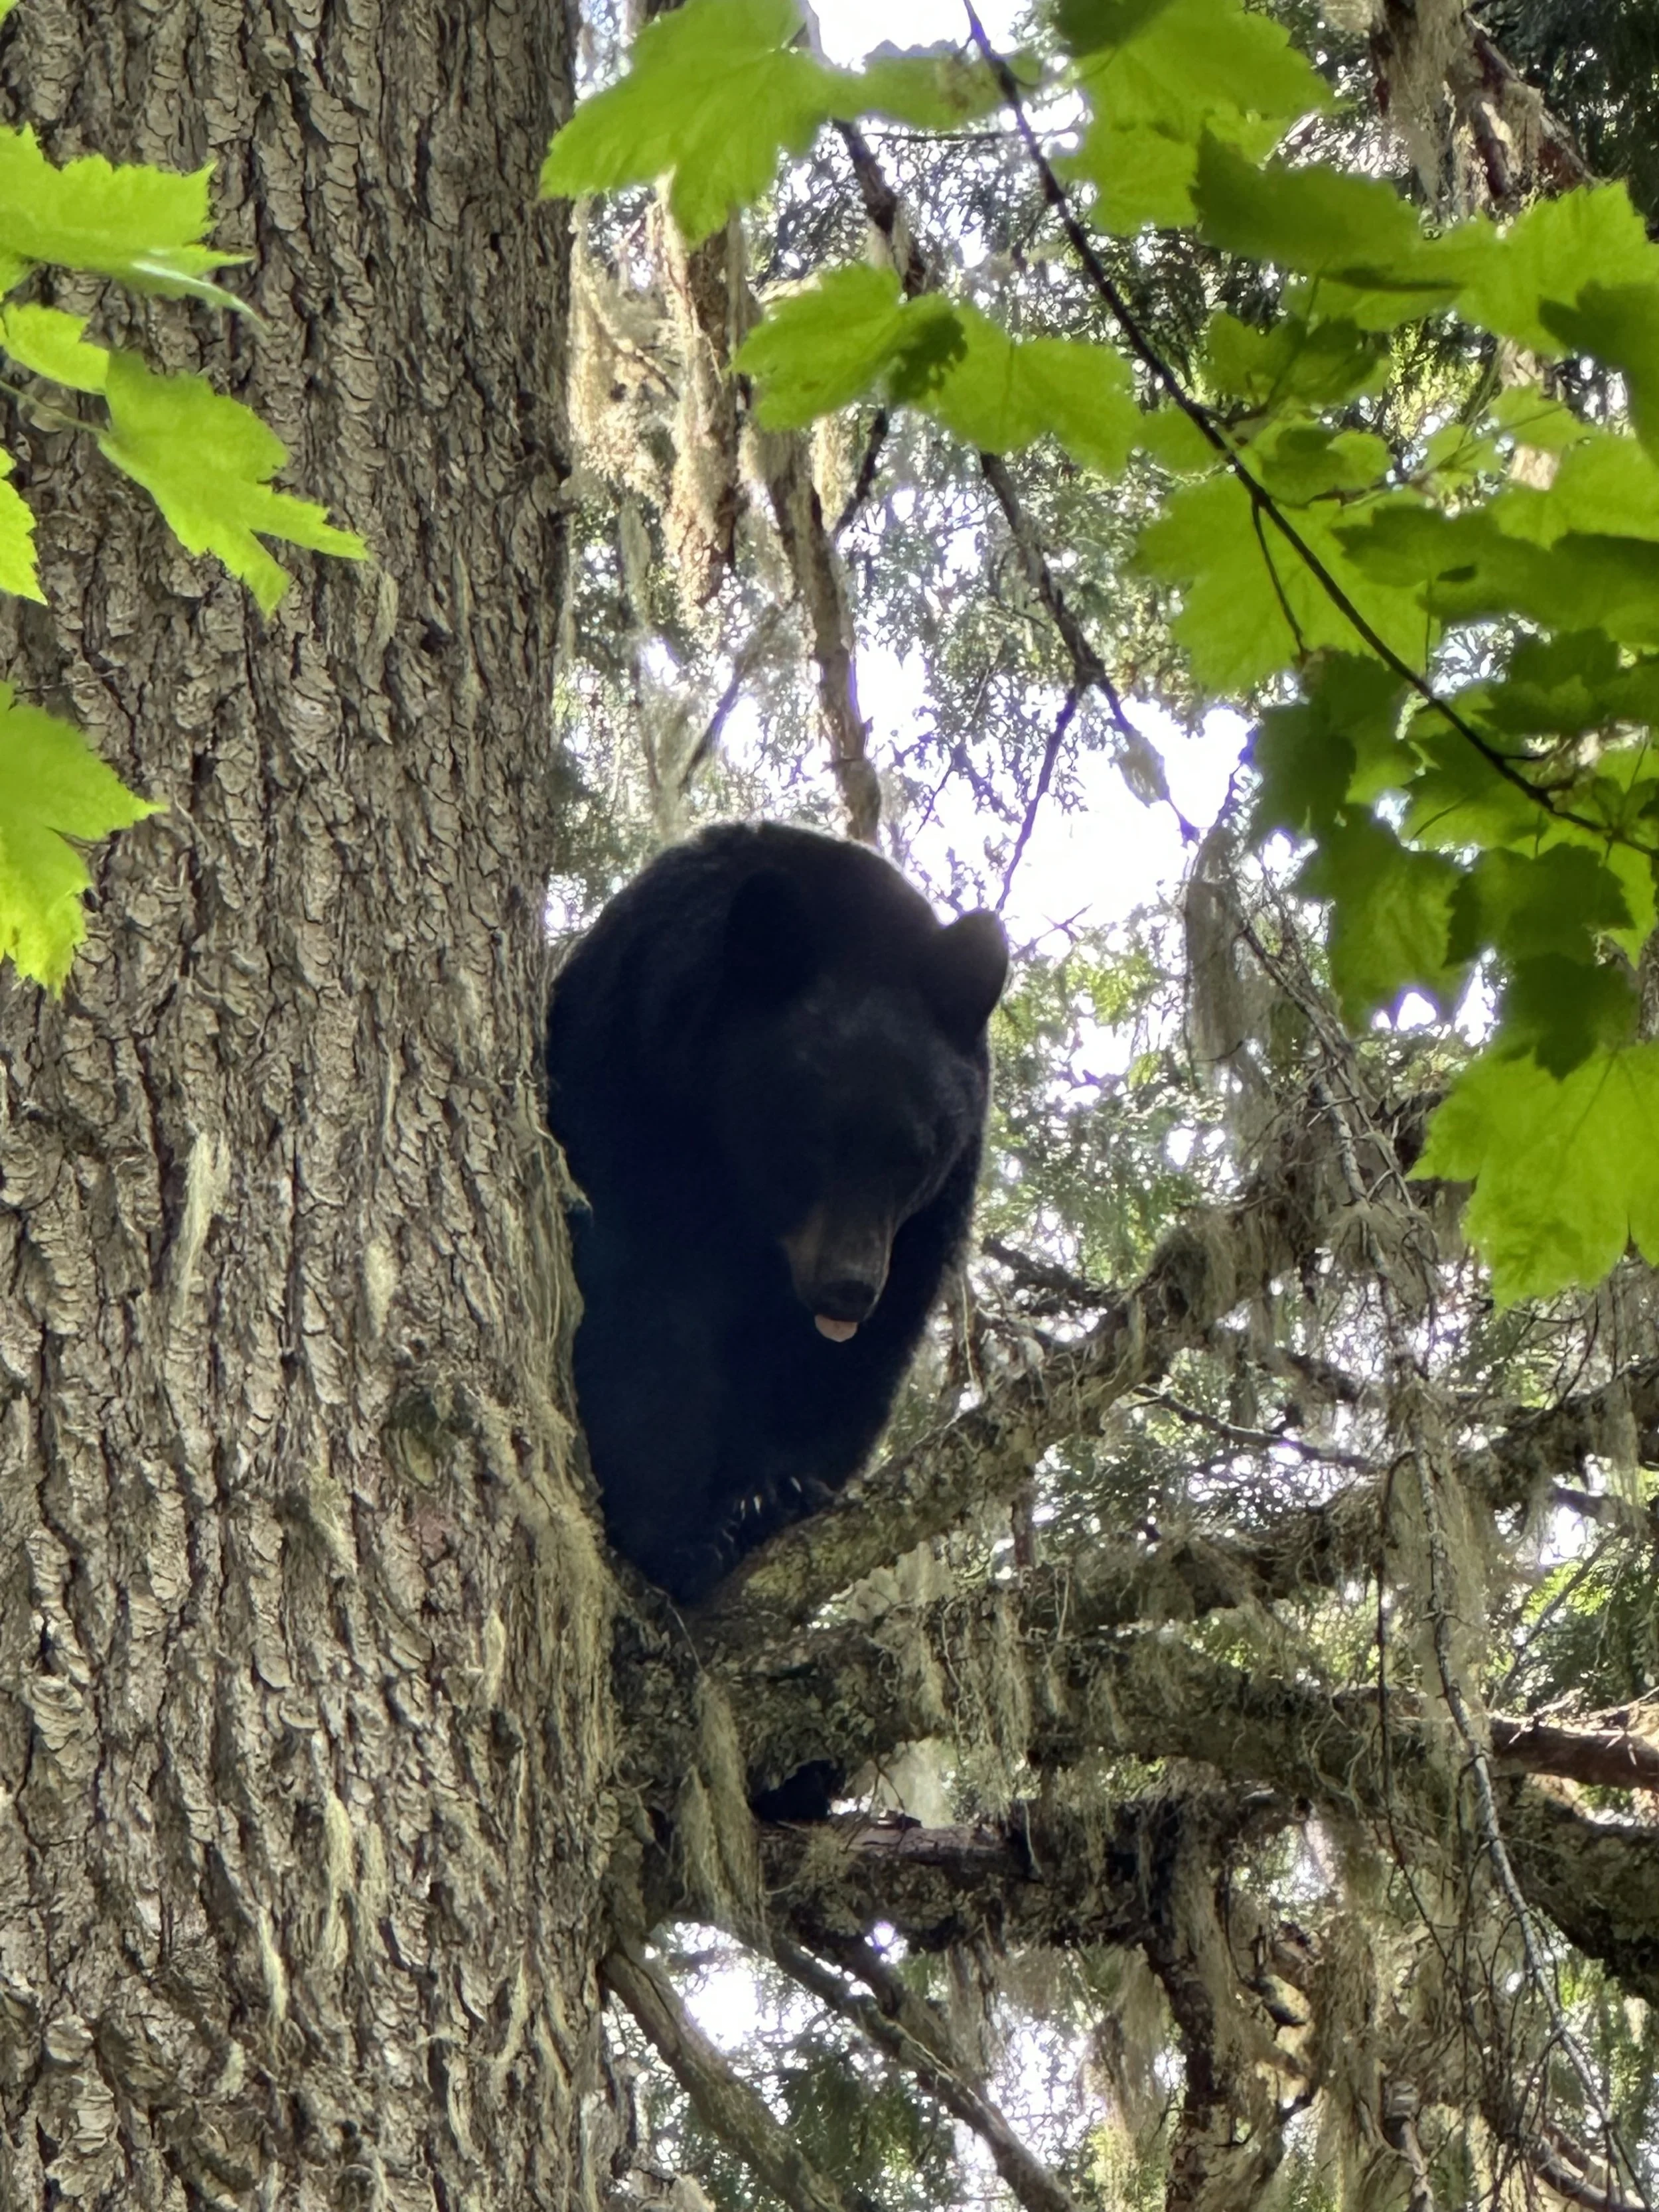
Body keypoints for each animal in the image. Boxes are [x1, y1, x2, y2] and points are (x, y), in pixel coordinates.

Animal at [544, 822, 1008, 1603]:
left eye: (914, 1154)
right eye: (814, 1137)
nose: (848, 1287)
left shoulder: (927, 1218)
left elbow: (856, 1355)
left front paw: (780, 1488)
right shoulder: (627, 1084)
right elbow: (640, 1304)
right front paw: (676, 1534)